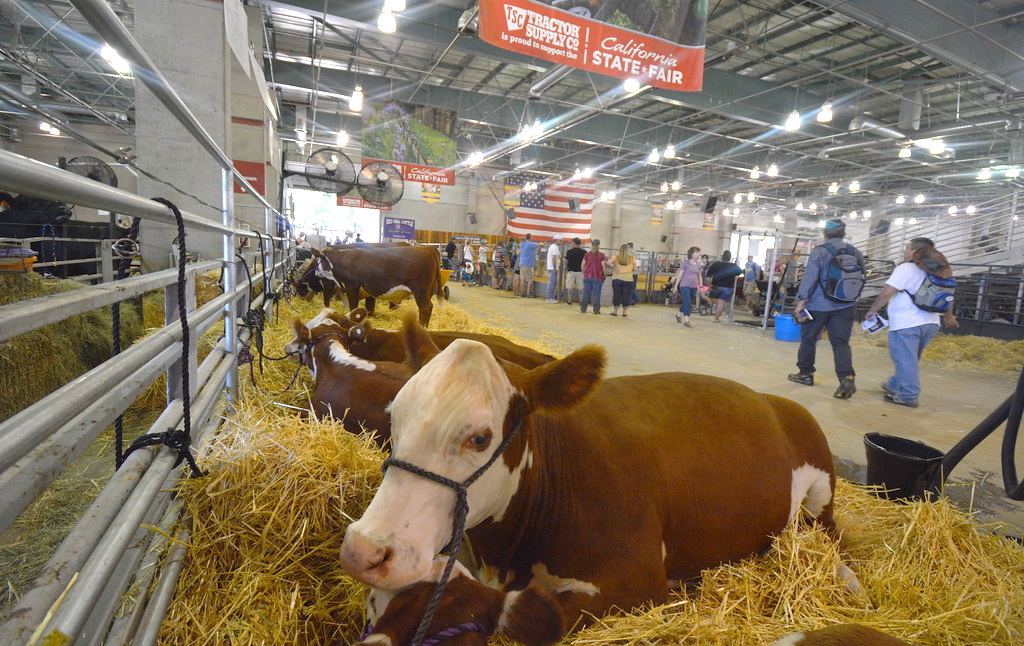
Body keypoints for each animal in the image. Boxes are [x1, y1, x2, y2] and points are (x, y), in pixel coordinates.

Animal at [338, 314, 848, 632]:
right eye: (395, 413)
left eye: (480, 438)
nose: (364, 551)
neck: (507, 554)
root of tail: (773, 401)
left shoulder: (638, 583)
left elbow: (541, 617)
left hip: (820, 492)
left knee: (828, 536)